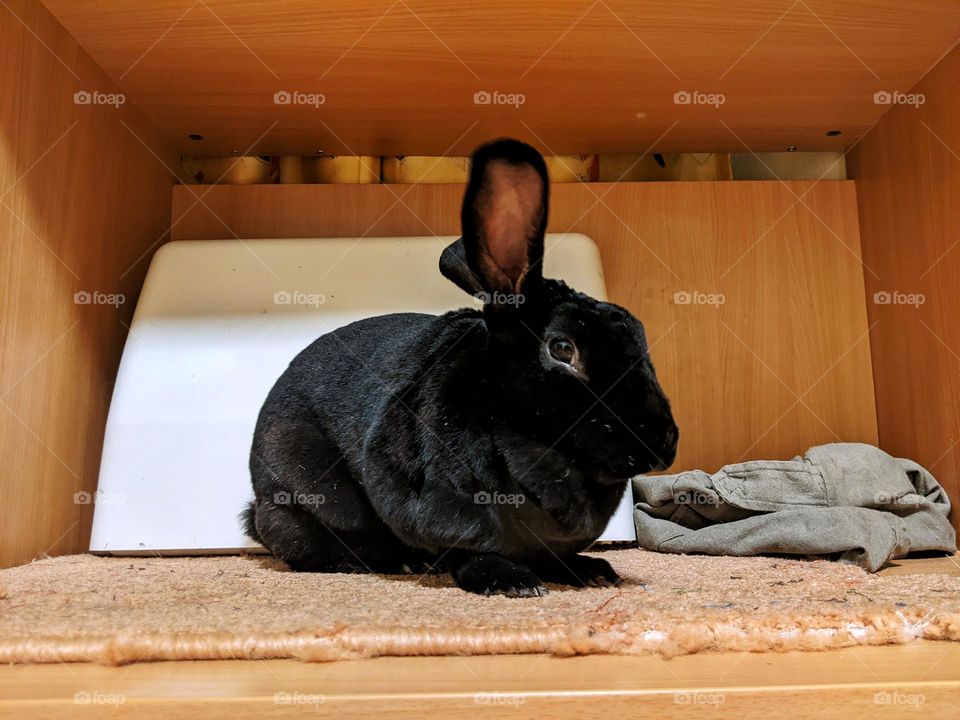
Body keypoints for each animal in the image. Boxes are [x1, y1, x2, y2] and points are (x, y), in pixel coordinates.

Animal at [244, 139, 680, 596]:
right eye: (563, 348)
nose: (663, 442)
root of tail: (257, 503)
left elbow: (551, 555)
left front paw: (591, 570)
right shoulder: (439, 508)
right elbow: (466, 551)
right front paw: (511, 582)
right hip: (305, 499)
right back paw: (400, 562)